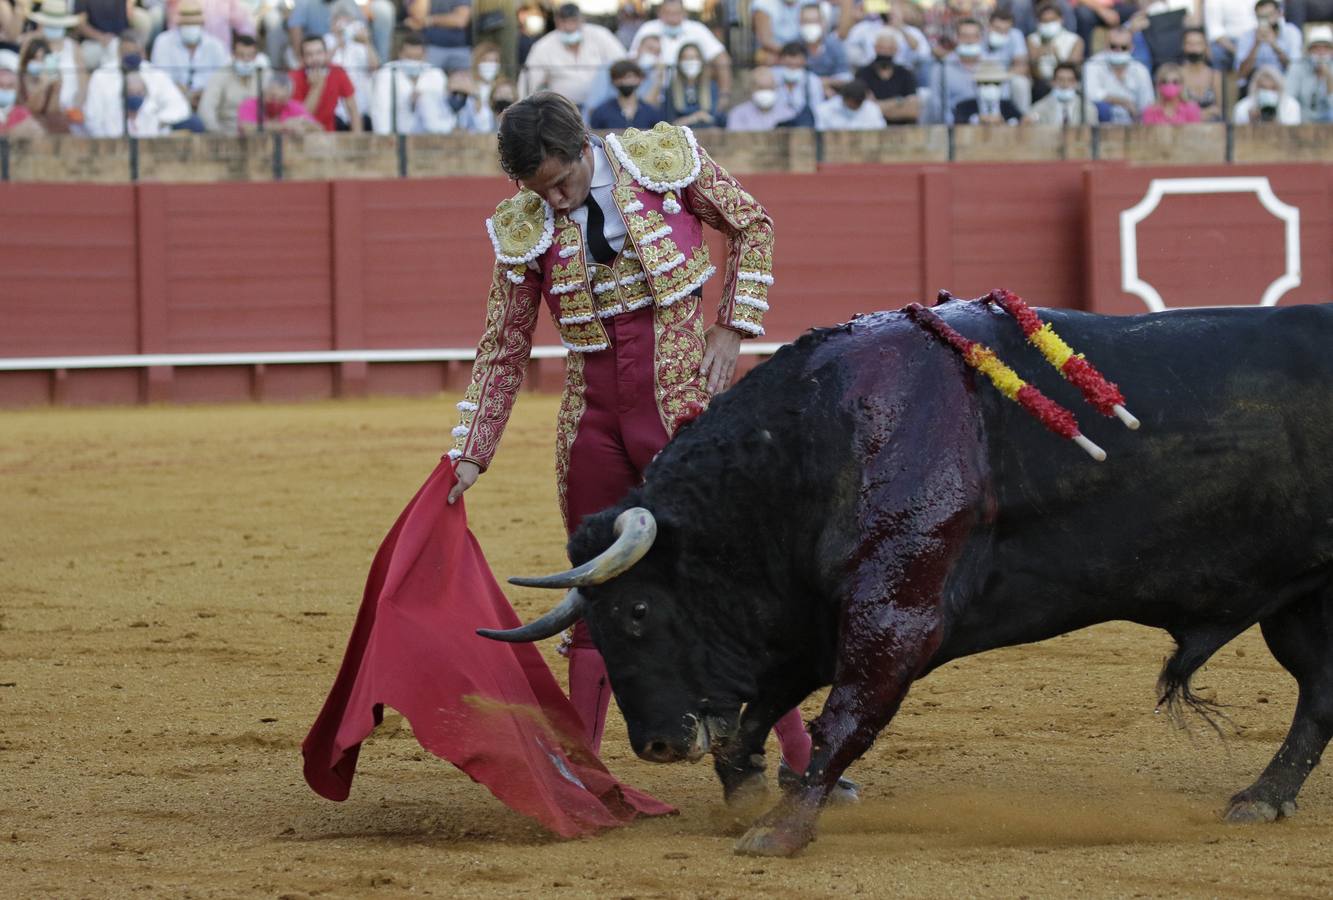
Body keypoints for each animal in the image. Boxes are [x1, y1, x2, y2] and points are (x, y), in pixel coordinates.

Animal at [485, 298, 1333, 853]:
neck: (818, 442)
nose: (657, 745)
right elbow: (764, 709)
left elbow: (843, 715)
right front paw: (752, 792)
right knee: (1318, 695)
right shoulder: (810, 622)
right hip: (1298, 603)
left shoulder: (895, 614)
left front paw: (778, 831)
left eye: (635, 612)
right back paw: (1260, 799)